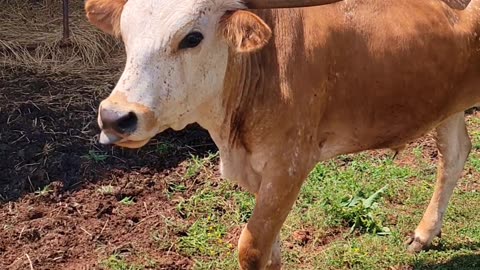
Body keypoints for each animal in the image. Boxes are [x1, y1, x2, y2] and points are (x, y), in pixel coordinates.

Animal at [86, 0, 480, 268]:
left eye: (192, 38)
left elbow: (252, 248)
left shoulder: (289, 164)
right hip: (445, 104)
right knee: (456, 153)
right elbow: (268, 250)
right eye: (126, 35)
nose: (115, 116)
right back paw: (424, 234)